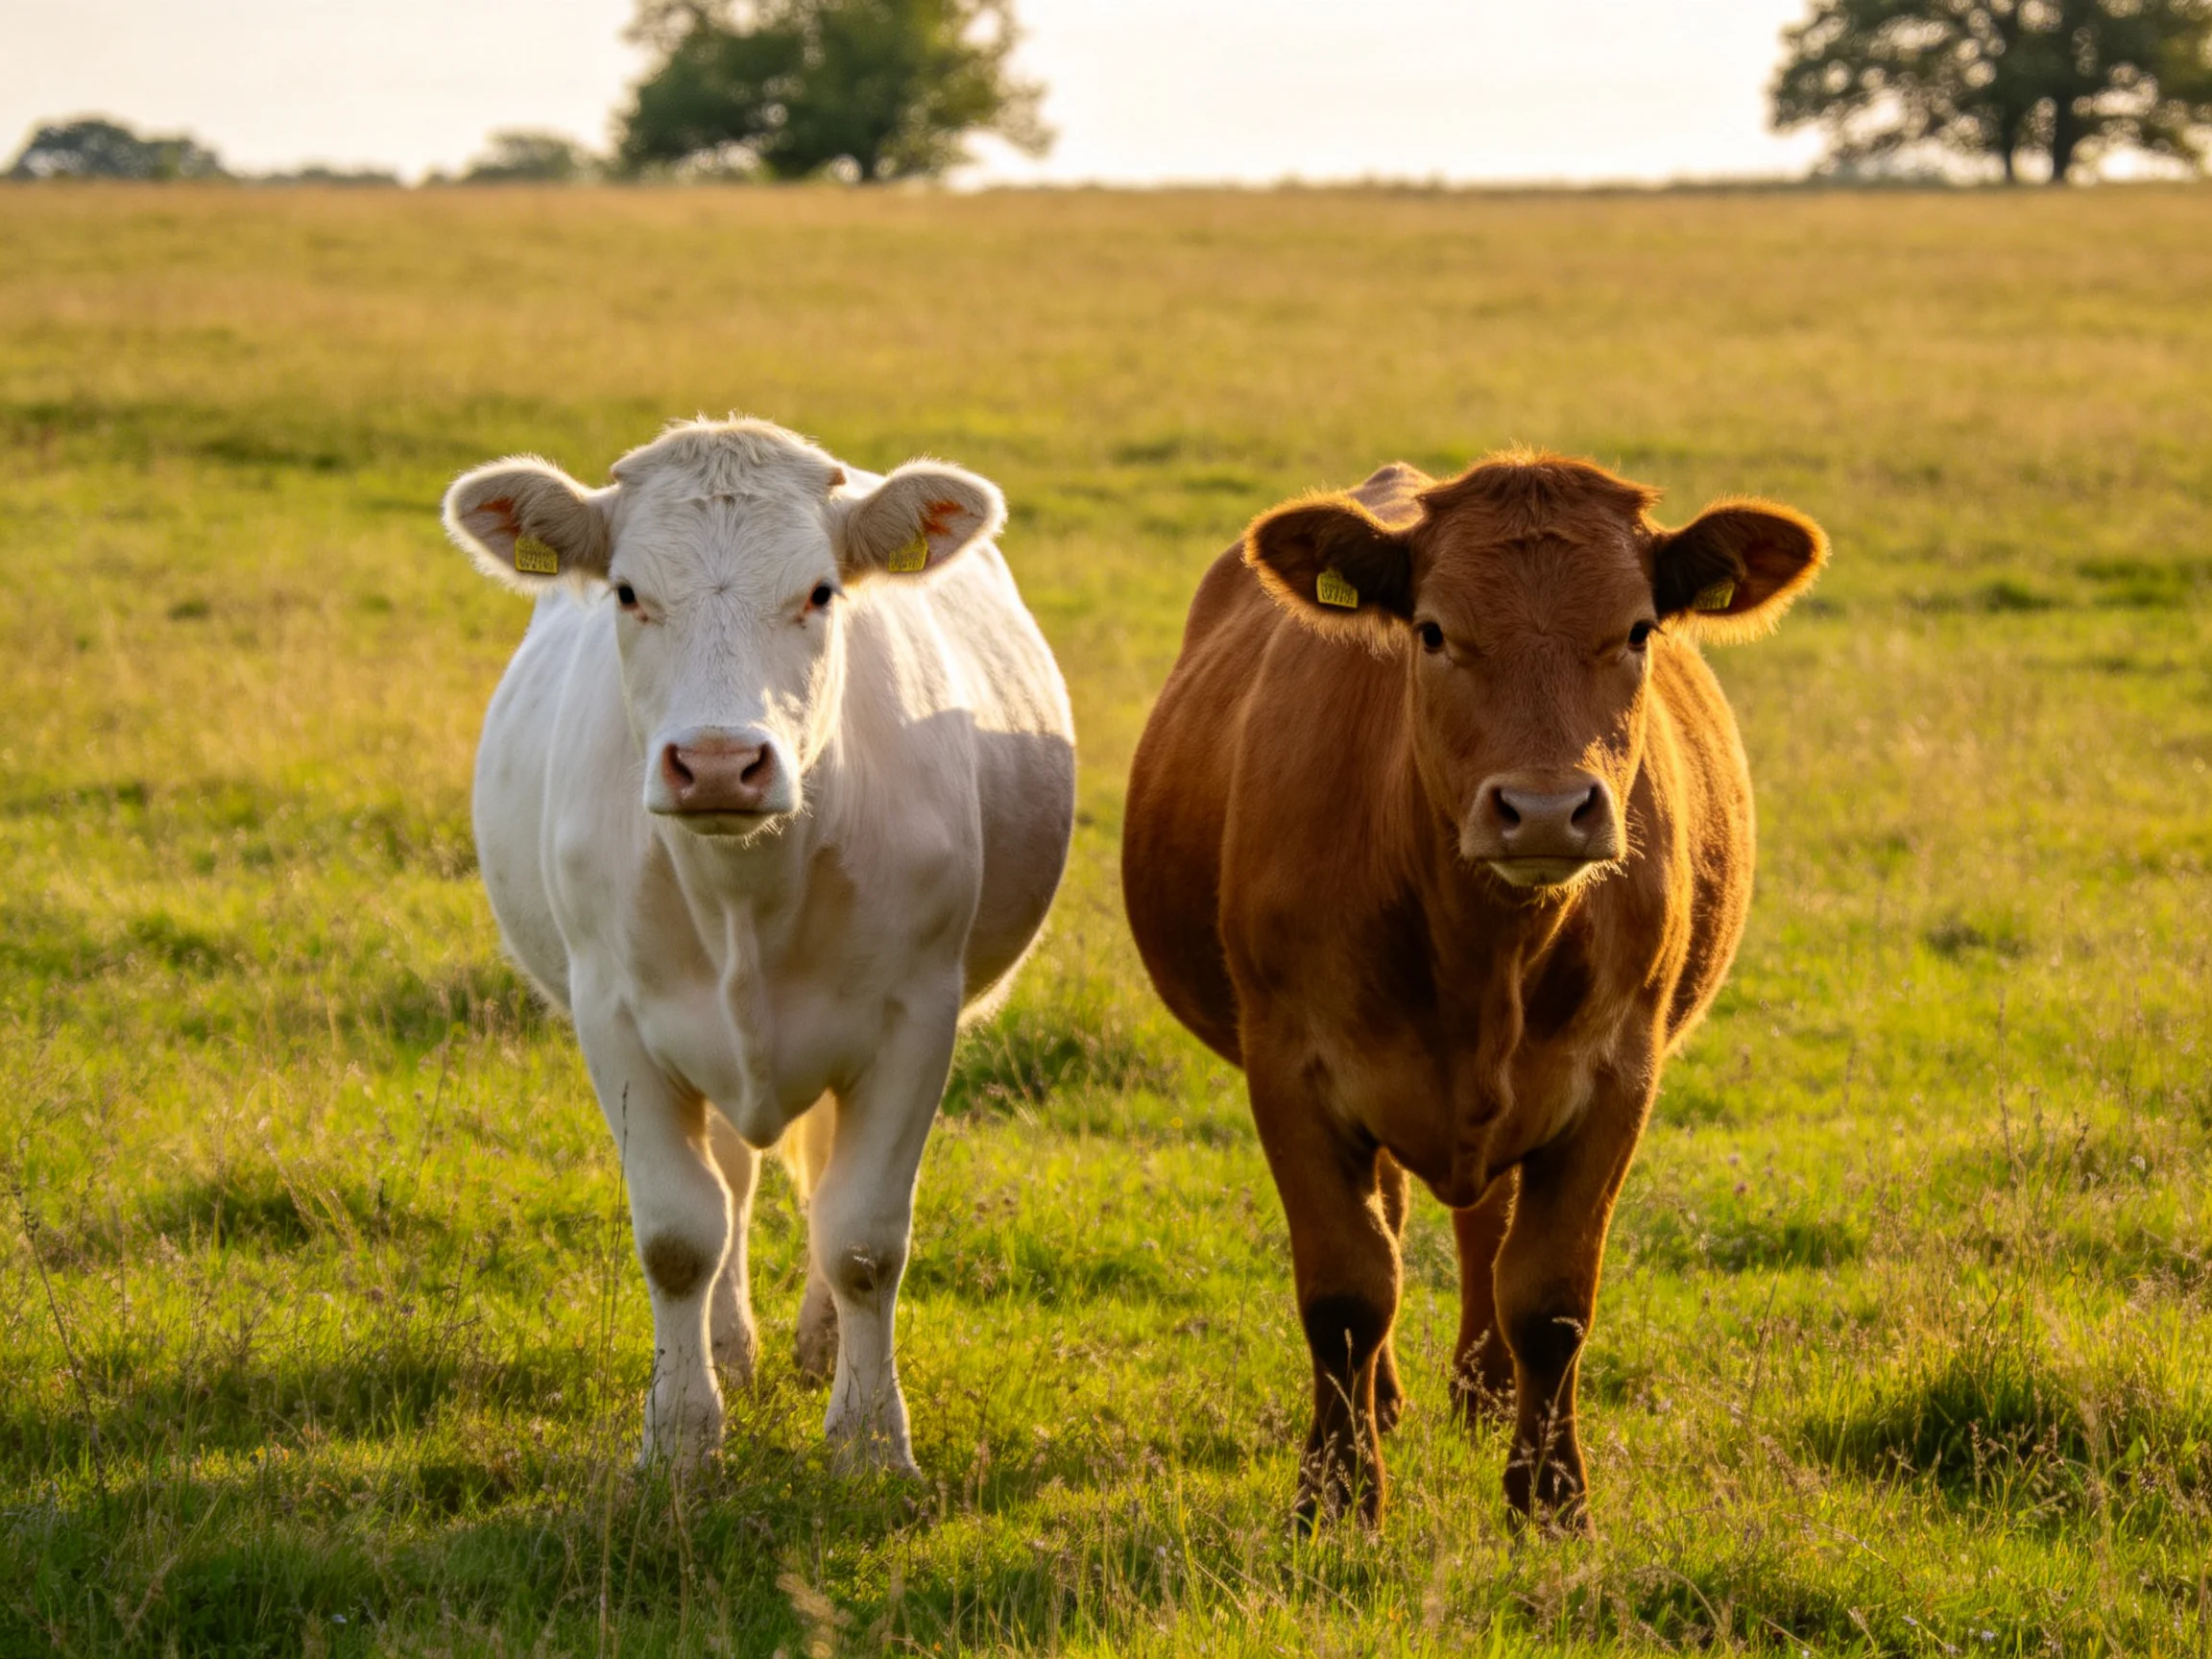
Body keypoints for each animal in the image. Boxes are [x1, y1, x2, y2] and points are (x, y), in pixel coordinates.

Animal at [441, 417, 1075, 1474]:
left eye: (820, 591)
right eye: (626, 591)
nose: (716, 763)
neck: (746, 891)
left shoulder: (917, 1016)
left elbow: (861, 1238)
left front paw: (871, 1442)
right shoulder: (615, 1018)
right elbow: (678, 1234)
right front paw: (682, 1436)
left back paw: (815, 1348)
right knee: (733, 1186)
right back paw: (733, 1347)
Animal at [1123, 451, 1825, 1531]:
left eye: (1637, 629)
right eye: (1433, 631)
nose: (1543, 808)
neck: (1483, 953)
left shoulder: (1618, 1077)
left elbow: (1550, 1296)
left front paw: (1550, 1500)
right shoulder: (1289, 1067)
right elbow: (1347, 1292)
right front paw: (1337, 1499)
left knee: (1484, 1228)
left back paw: (1485, 1392)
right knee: (1396, 1224)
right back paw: (1389, 1403)